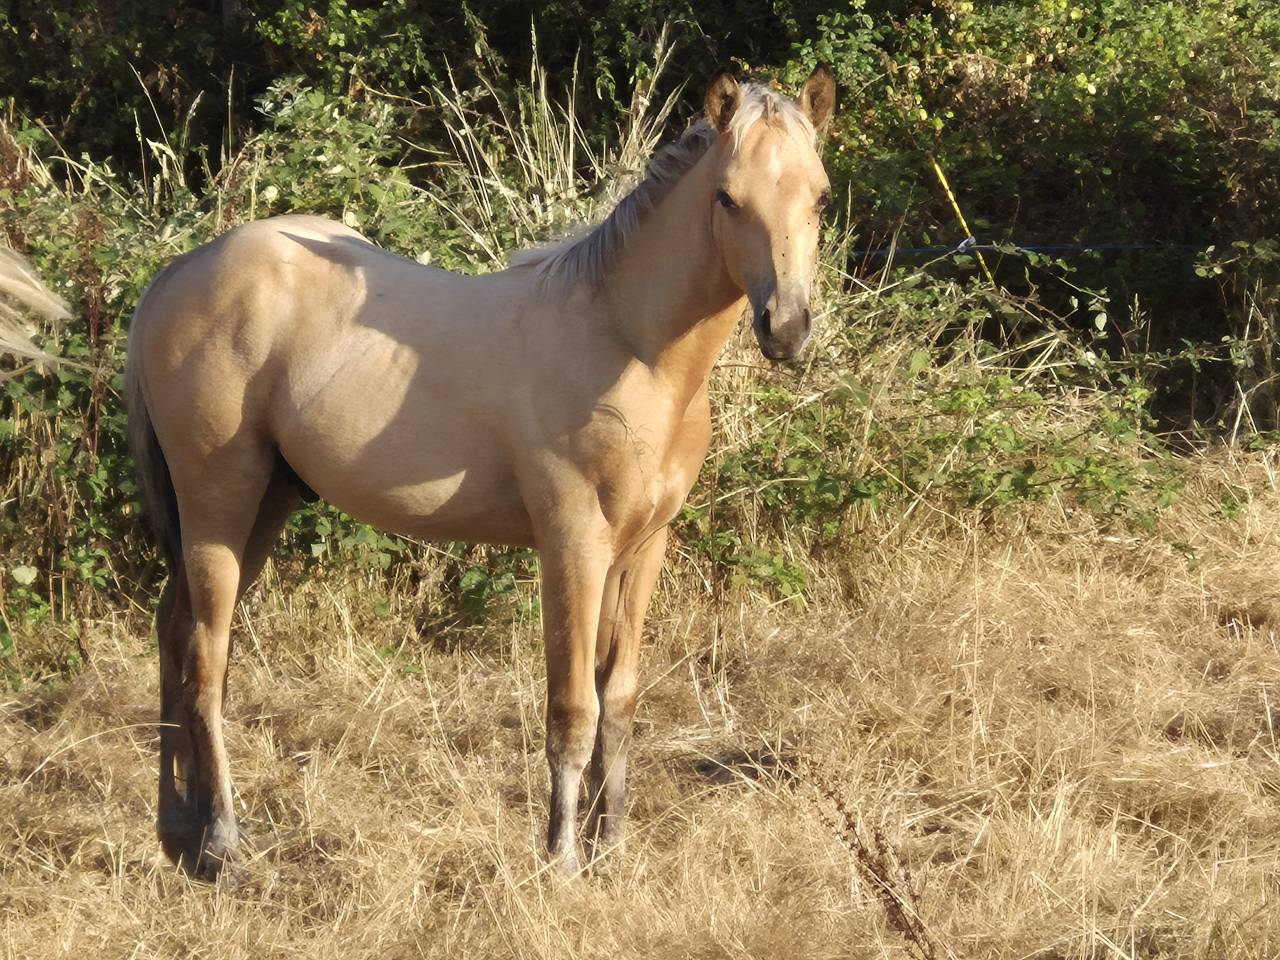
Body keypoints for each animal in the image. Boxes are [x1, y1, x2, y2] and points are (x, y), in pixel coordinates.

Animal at [126, 66, 836, 879]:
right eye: (727, 197)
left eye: (820, 196)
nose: (786, 327)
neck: (629, 347)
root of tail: (178, 276)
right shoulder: (572, 545)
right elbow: (572, 710)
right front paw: (561, 863)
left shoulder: (641, 548)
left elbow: (618, 702)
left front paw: (612, 850)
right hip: (220, 503)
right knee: (205, 661)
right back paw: (223, 842)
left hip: (265, 503)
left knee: (174, 635)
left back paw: (177, 826)